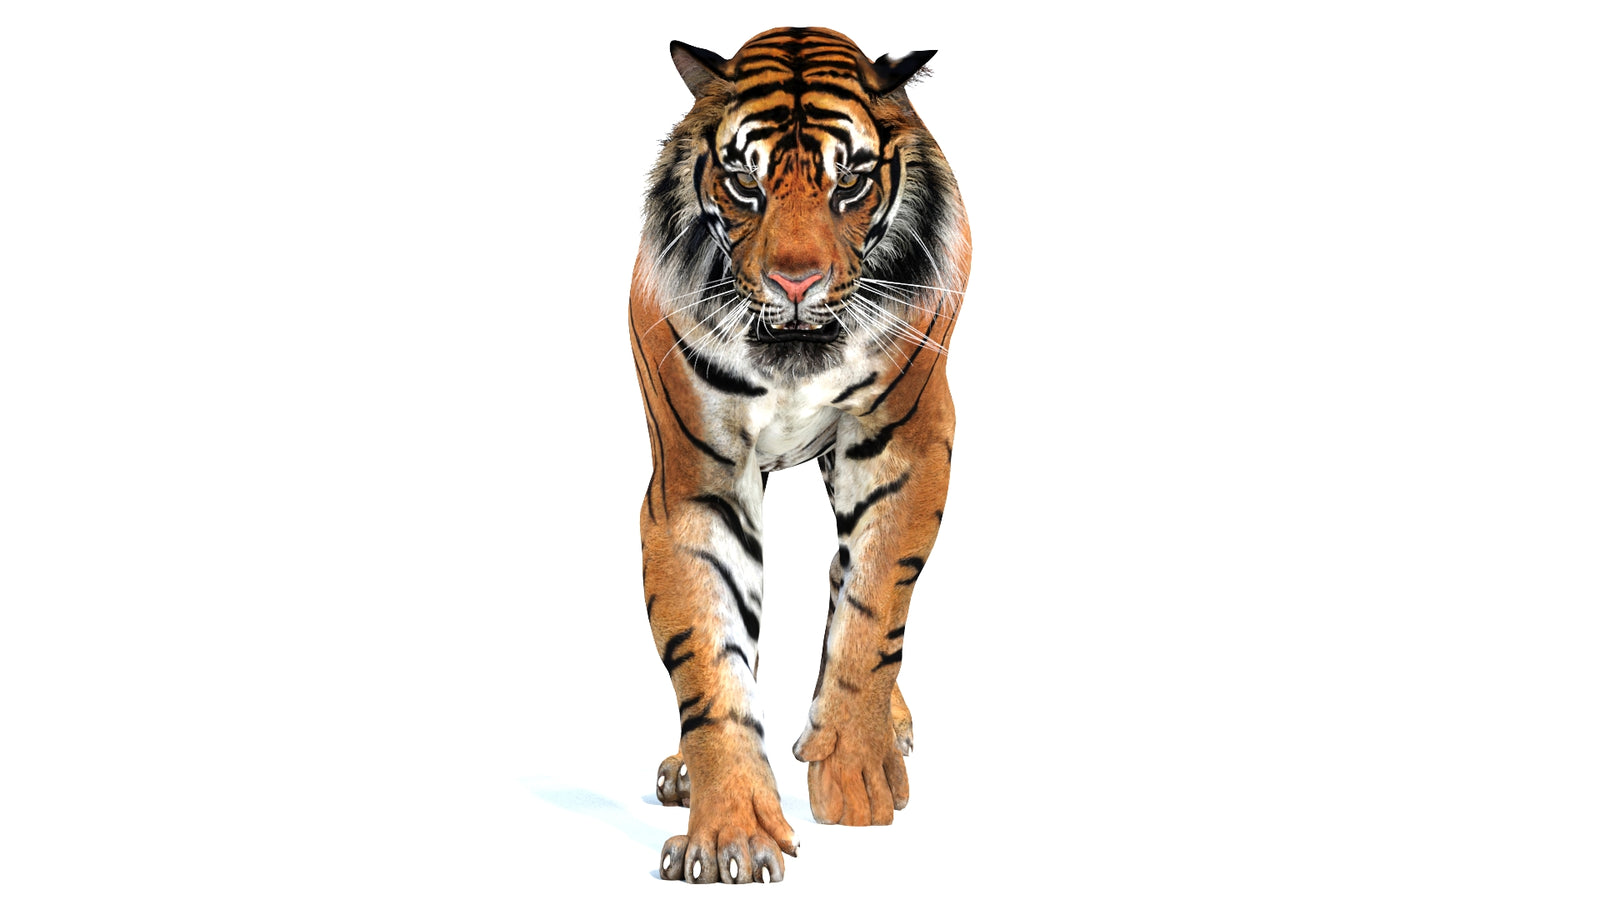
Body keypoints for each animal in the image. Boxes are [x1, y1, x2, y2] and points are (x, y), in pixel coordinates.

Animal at [628, 26, 970, 884]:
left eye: (848, 181)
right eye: (745, 182)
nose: (795, 280)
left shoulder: (907, 445)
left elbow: (872, 608)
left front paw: (855, 770)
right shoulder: (696, 481)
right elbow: (709, 657)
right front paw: (731, 833)